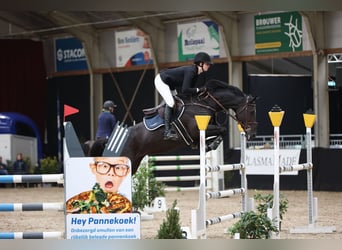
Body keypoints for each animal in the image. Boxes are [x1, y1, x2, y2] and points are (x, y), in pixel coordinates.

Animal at [85, 79, 256, 175]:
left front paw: (208, 145)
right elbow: (223, 130)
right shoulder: (197, 130)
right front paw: (211, 145)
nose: (252, 134)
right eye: (252, 111)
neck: (205, 104)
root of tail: (109, 141)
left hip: (135, 162)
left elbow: (220, 131)